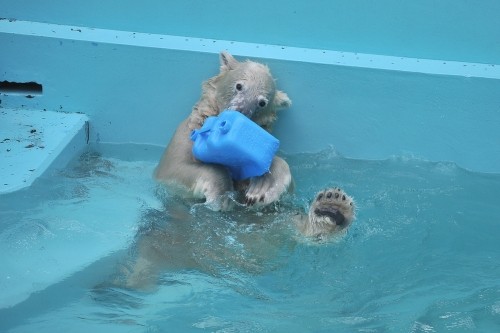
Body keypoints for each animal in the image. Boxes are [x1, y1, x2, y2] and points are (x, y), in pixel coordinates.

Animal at [155, 50, 292, 209]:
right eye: (239, 86)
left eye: (262, 103)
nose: (240, 111)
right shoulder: (183, 138)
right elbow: (174, 167)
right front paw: (223, 198)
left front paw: (261, 188)